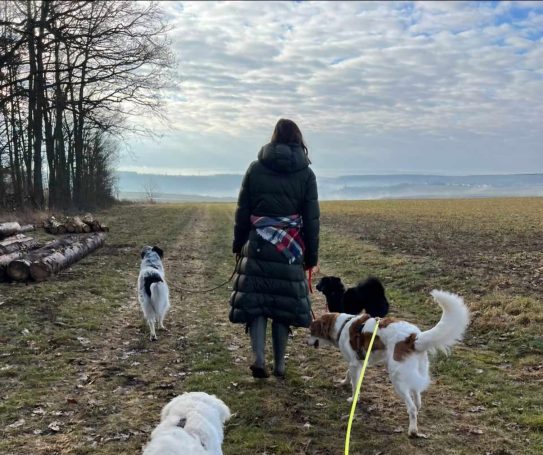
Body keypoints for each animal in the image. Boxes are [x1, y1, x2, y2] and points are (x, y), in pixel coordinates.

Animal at [308, 292, 470, 438]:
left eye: (310, 331)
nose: (306, 342)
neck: (341, 327)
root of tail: (413, 337)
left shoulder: (354, 363)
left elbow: (354, 384)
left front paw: (353, 398)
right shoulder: (358, 362)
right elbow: (349, 375)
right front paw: (344, 382)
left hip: (397, 379)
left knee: (412, 407)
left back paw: (413, 430)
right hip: (416, 371)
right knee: (417, 398)